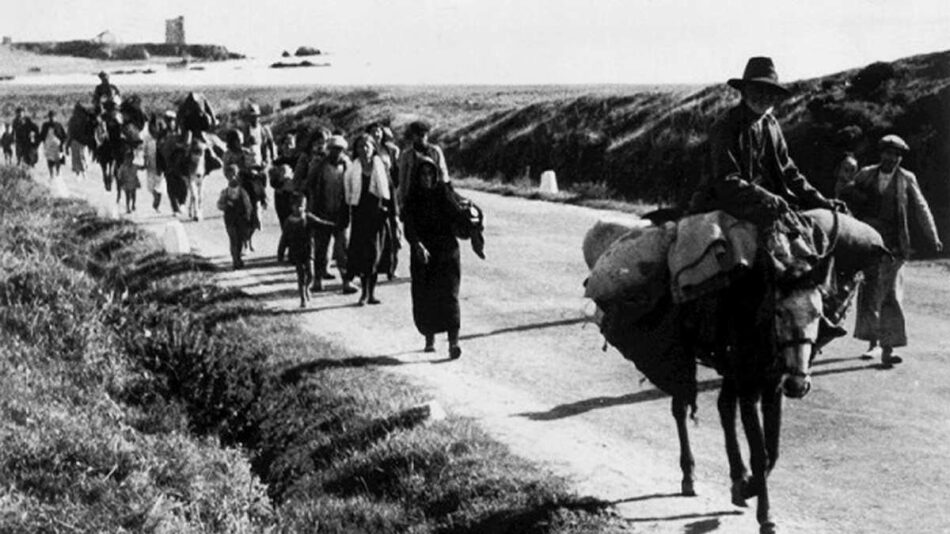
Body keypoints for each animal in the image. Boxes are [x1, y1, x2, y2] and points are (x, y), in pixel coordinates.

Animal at [584, 211, 888, 534]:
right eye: (779, 312)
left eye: (818, 314)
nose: (798, 385)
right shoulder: (749, 386)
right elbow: (760, 451)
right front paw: (765, 515)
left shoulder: (772, 387)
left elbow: (773, 449)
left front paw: (748, 486)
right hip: (687, 357)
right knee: (682, 407)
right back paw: (689, 476)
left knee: (723, 407)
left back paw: (736, 478)